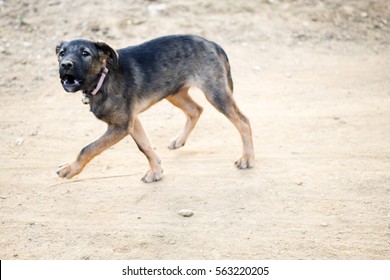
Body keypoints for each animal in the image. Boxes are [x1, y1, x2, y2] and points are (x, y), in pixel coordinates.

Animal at [56, 34, 254, 183]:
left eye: (85, 53)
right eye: (62, 53)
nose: (65, 65)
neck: (103, 79)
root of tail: (212, 43)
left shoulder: (121, 126)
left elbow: (88, 148)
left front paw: (70, 168)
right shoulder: (132, 121)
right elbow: (144, 146)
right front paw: (156, 171)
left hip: (215, 93)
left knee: (243, 121)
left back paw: (247, 158)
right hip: (173, 92)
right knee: (195, 110)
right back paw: (179, 140)